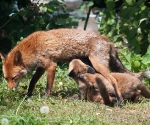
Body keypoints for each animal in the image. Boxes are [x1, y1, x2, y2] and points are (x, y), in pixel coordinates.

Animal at [0, 28, 148, 104]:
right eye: (6, 78)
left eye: (14, 78)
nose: (10, 91)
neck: (33, 47)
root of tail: (106, 39)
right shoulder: (41, 66)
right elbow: (32, 82)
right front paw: (28, 95)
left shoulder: (51, 65)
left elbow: (48, 87)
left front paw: (46, 99)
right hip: (91, 65)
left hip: (98, 64)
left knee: (113, 80)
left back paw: (119, 100)